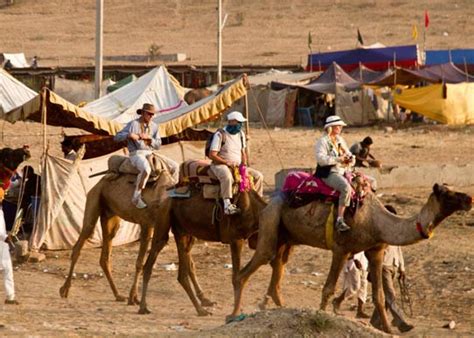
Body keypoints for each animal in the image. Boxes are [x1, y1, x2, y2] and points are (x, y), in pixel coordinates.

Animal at [59, 169, 173, 304]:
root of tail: (99, 182)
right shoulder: (146, 224)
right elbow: (139, 263)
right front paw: (133, 297)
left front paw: (134, 297)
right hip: (94, 199)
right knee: (81, 241)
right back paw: (64, 290)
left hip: (110, 215)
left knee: (105, 255)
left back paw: (118, 295)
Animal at [137, 187, 292, 316]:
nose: (284, 256)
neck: (254, 210)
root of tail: (164, 199)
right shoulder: (236, 239)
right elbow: (236, 275)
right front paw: (236, 310)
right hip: (165, 221)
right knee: (157, 262)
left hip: (185, 232)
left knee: (185, 266)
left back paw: (204, 302)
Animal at [230, 184, 470, 334]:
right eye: (448, 194)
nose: (470, 198)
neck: (377, 222)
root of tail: (269, 201)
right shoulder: (341, 249)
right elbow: (328, 288)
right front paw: (320, 318)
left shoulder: (376, 250)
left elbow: (379, 295)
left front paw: (388, 329)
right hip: (271, 221)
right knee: (248, 270)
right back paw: (233, 315)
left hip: (286, 238)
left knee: (277, 271)